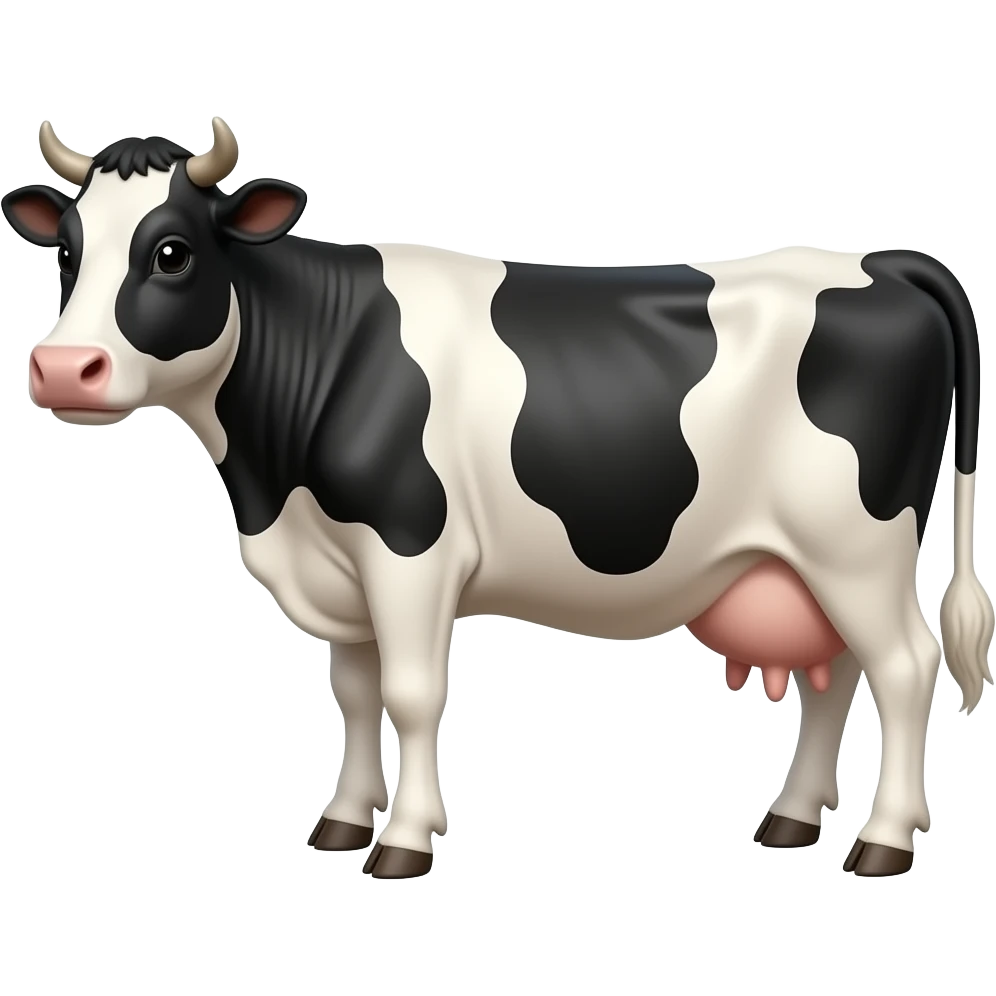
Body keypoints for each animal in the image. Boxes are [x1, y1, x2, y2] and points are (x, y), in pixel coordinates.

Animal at [5, 118, 992, 880]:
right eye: (67, 252)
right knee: (841, 676)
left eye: (171, 252)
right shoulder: (342, 564)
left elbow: (409, 693)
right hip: (806, 559)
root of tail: (885, 261)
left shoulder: (409, 546)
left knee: (905, 667)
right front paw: (341, 823)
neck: (270, 483)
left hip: (855, 544)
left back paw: (883, 842)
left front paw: (404, 842)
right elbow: (353, 694)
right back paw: (791, 820)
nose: (62, 368)